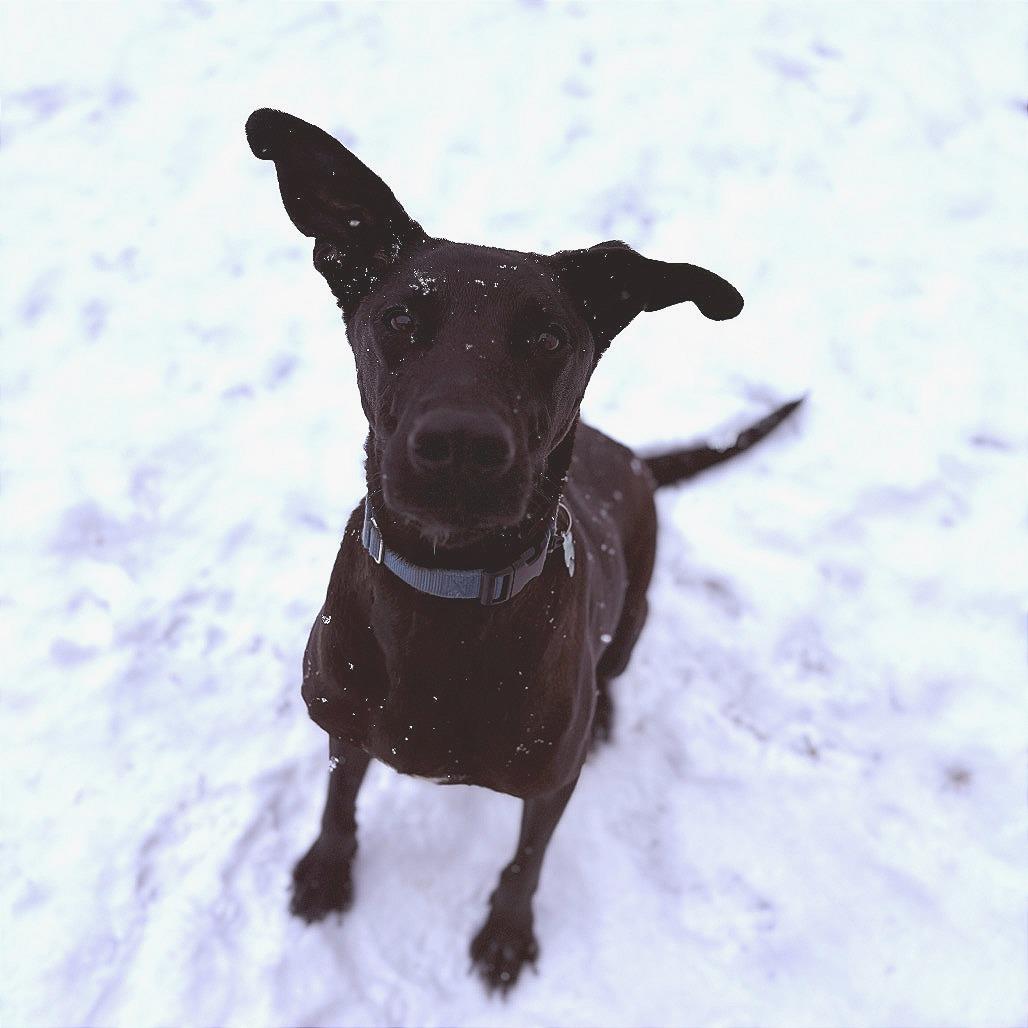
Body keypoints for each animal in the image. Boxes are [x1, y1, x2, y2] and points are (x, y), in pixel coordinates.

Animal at [245, 108, 800, 993]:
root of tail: (633, 455)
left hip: (636, 614)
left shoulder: (550, 783)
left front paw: (506, 933)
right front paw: (327, 873)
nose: (461, 446)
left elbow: (527, 860)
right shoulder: (342, 725)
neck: (447, 589)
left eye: (546, 337)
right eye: (399, 319)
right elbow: (337, 804)